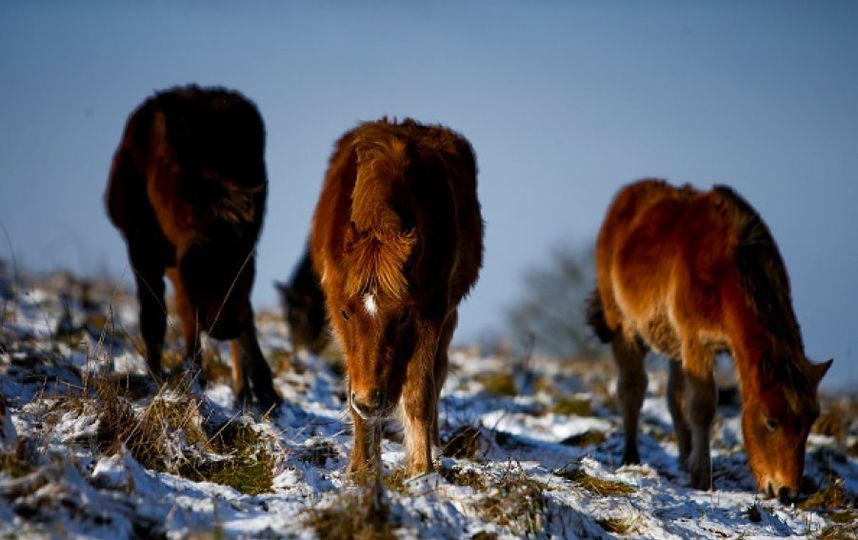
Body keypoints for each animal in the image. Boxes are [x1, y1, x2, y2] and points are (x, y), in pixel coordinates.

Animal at [105, 86, 280, 412]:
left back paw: (249, 389)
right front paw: (163, 378)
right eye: (199, 267)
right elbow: (155, 316)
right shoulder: (143, 251)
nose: (225, 325)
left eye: (247, 264)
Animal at [308, 118, 482, 476]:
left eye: (402, 315)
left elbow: (419, 391)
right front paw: (362, 469)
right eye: (346, 313)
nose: (370, 400)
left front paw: (421, 469)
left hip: (450, 315)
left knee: (437, 374)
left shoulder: (431, 311)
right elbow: (353, 383)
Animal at [588, 178, 828, 502]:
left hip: (674, 346)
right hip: (623, 325)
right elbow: (702, 407)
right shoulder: (697, 343)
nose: (787, 492)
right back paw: (631, 457)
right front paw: (702, 477)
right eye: (771, 421)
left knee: (674, 397)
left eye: (810, 422)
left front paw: (693, 465)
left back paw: (683, 456)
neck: (723, 273)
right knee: (632, 389)